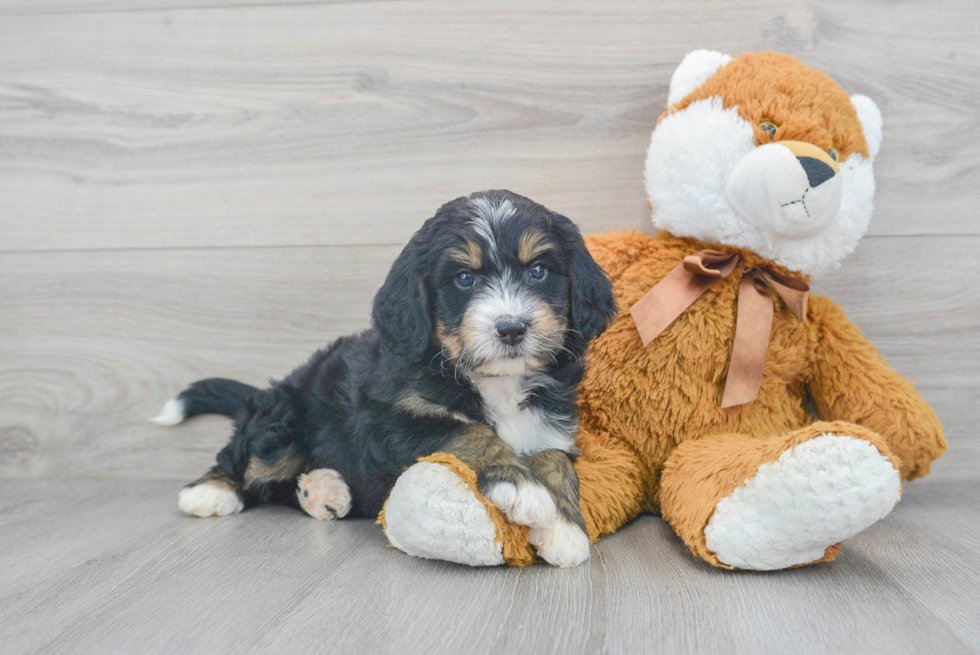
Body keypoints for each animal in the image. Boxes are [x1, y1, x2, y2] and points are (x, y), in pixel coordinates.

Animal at [152, 188, 612, 564]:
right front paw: (521, 487)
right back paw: (211, 491)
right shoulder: (391, 422)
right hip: (281, 422)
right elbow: (469, 431)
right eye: (464, 278)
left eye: (538, 271)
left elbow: (556, 460)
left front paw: (565, 527)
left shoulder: (552, 426)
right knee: (248, 459)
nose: (512, 328)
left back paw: (322, 490)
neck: (495, 380)